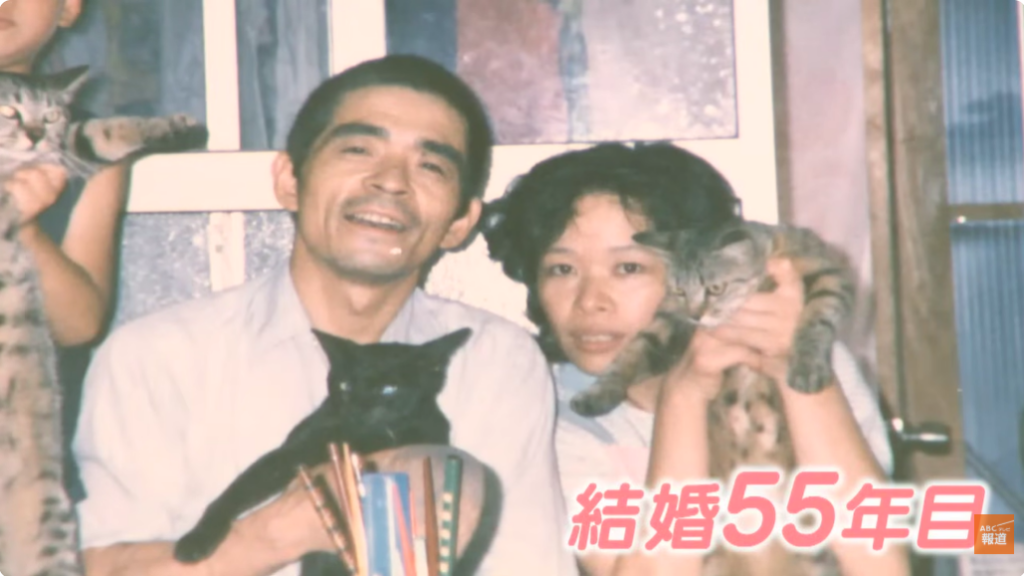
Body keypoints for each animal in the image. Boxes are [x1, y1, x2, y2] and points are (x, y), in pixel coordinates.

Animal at [0, 67, 207, 576]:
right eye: (10, 110)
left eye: (50, 116)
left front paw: (177, 126)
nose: (34, 135)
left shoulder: (68, 142)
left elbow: (97, 131)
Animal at [173, 328, 473, 571]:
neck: (362, 438)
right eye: (345, 385)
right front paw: (196, 539)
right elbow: (237, 491)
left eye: (389, 389)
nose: (358, 408)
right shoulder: (290, 455)